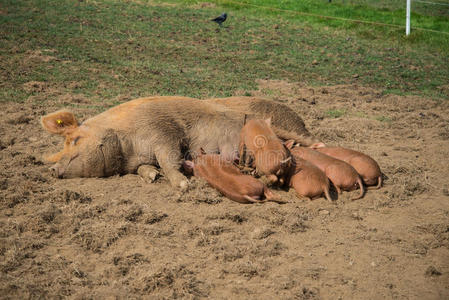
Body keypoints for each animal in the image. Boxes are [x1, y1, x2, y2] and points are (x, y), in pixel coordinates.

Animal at [42, 96, 320, 190]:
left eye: (74, 139)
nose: (52, 169)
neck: (128, 147)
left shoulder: (164, 132)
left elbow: (169, 159)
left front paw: (183, 185)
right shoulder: (138, 160)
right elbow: (146, 168)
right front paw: (152, 177)